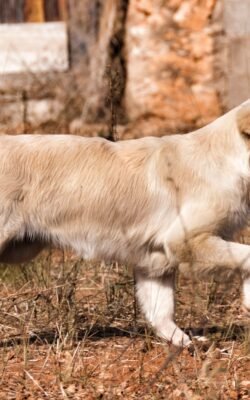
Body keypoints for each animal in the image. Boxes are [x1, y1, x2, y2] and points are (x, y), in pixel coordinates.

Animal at [0, 101, 250, 346]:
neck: (229, 161)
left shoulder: (154, 261)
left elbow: (161, 312)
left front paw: (184, 342)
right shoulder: (186, 241)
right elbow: (246, 255)